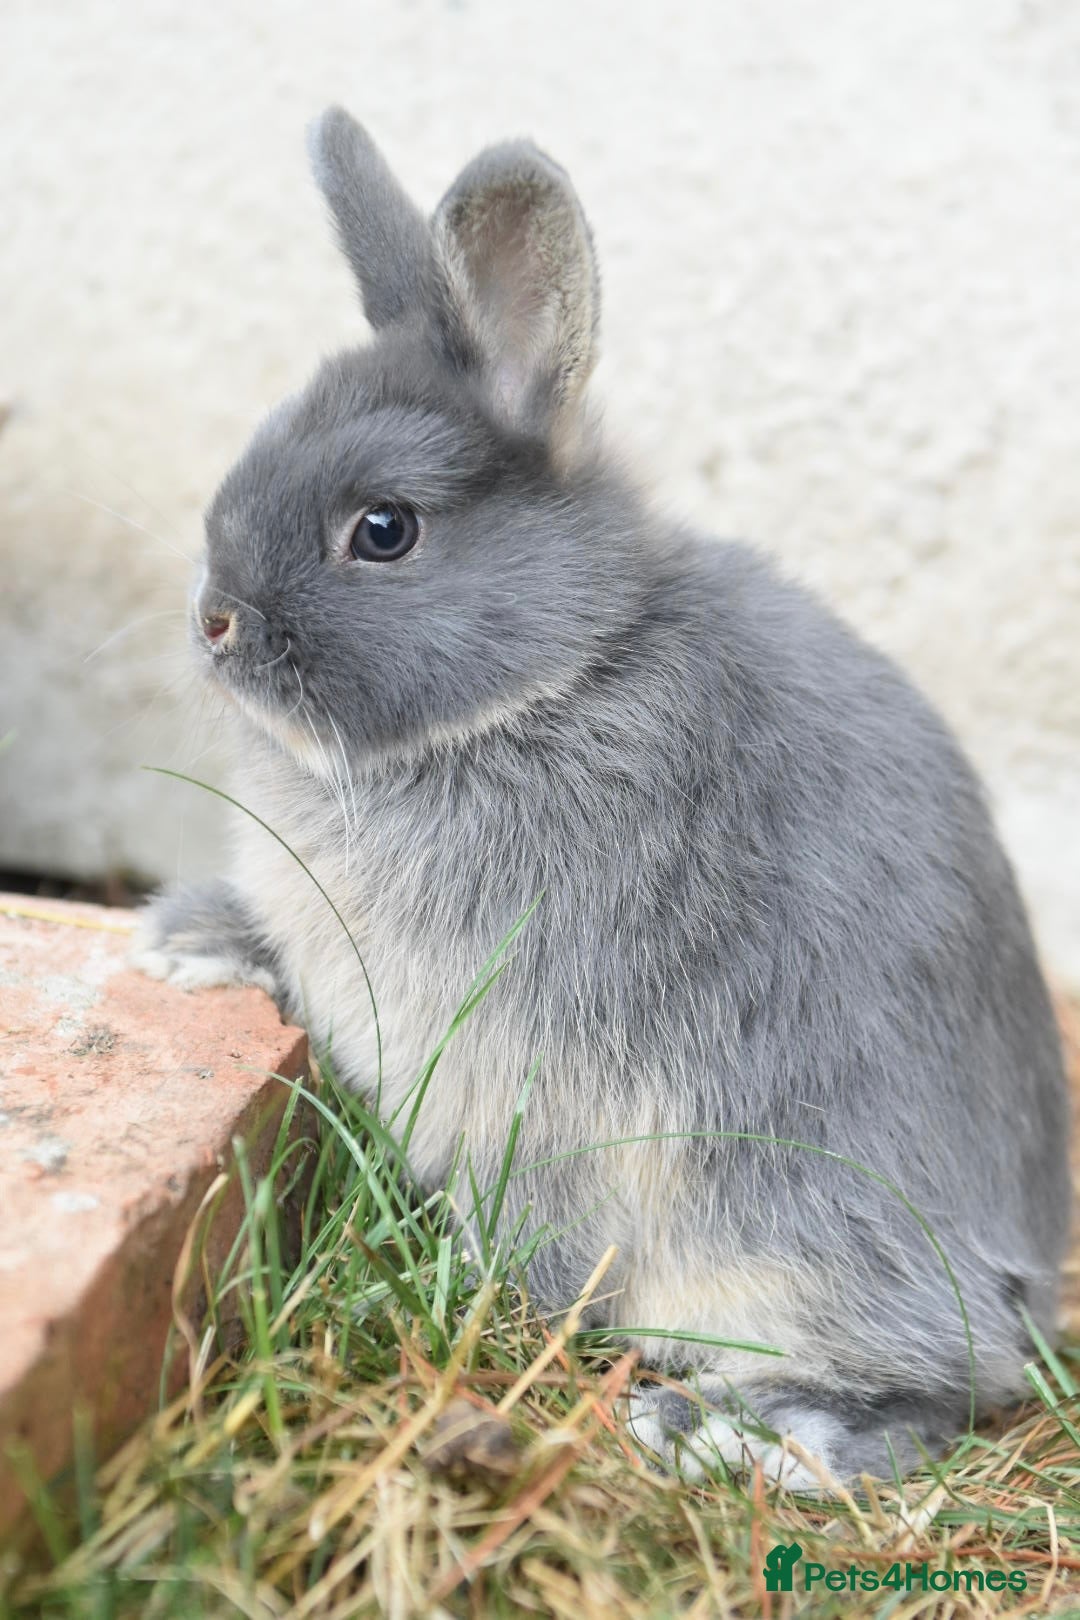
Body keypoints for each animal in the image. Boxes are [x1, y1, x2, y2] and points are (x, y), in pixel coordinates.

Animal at [135, 106, 1071, 1490]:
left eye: (384, 529)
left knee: (935, 1385)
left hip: (793, 1228)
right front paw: (190, 942)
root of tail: (1027, 1264)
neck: (557, 678)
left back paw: (726, 1431)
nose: (214, 622)